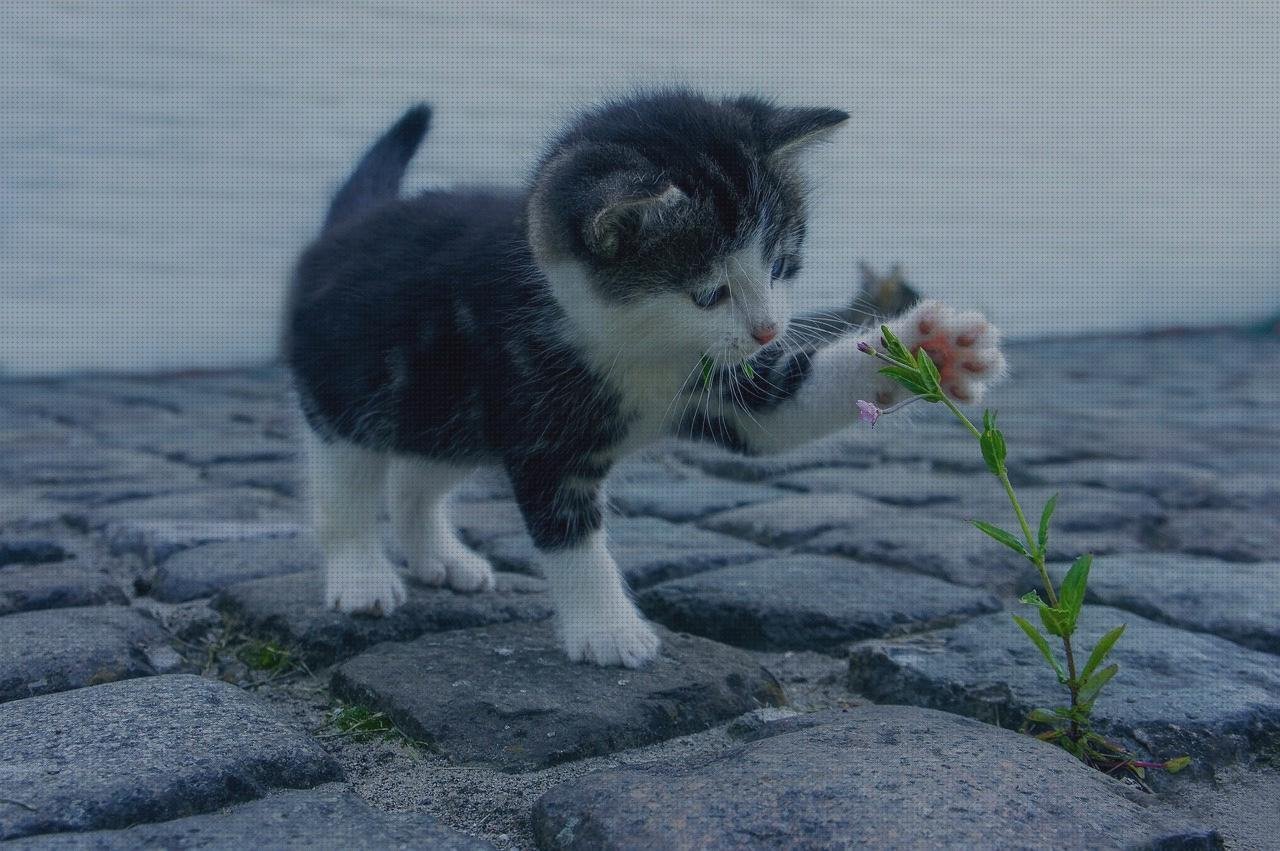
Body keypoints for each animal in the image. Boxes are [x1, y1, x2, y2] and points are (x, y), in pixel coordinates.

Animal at [282, 89, 1008, 665]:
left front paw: (933, 348)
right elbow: (570, 534)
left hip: (446, 412)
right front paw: (608, 630)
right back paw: (362, 576)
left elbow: (786, 408)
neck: (638, 347)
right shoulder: (539, 421)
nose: (769, 330)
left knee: (415, 477)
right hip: (347, 395)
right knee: (345, 490)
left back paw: (440, 556)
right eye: (709, 293)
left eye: (781, 265)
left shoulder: (726, 385)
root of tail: (347, 226)